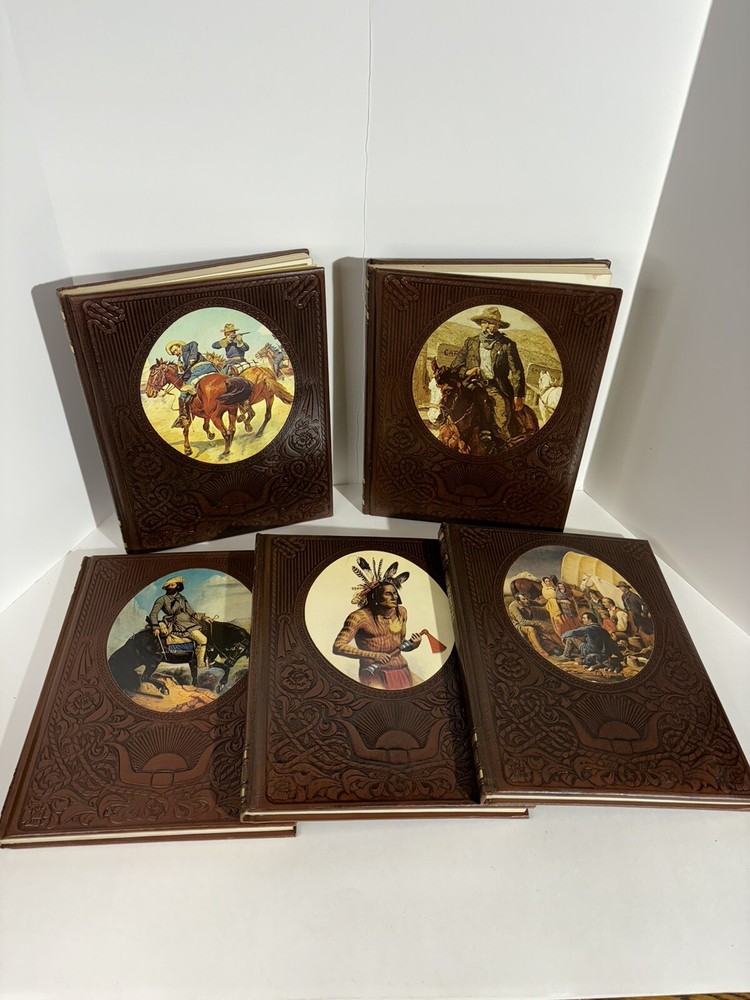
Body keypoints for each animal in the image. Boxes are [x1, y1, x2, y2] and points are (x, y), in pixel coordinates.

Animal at [108, 620, 251, 698]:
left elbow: (197, 675)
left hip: (136, 661)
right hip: (153, 662)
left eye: (244, 652)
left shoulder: (199, 662)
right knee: (144, 677)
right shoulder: (201, 661)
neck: (212, 635)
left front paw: (218, 686)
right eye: (237, 647)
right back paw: (164, 688)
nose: (231, 662)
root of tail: (133, 639)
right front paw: (220, 685)